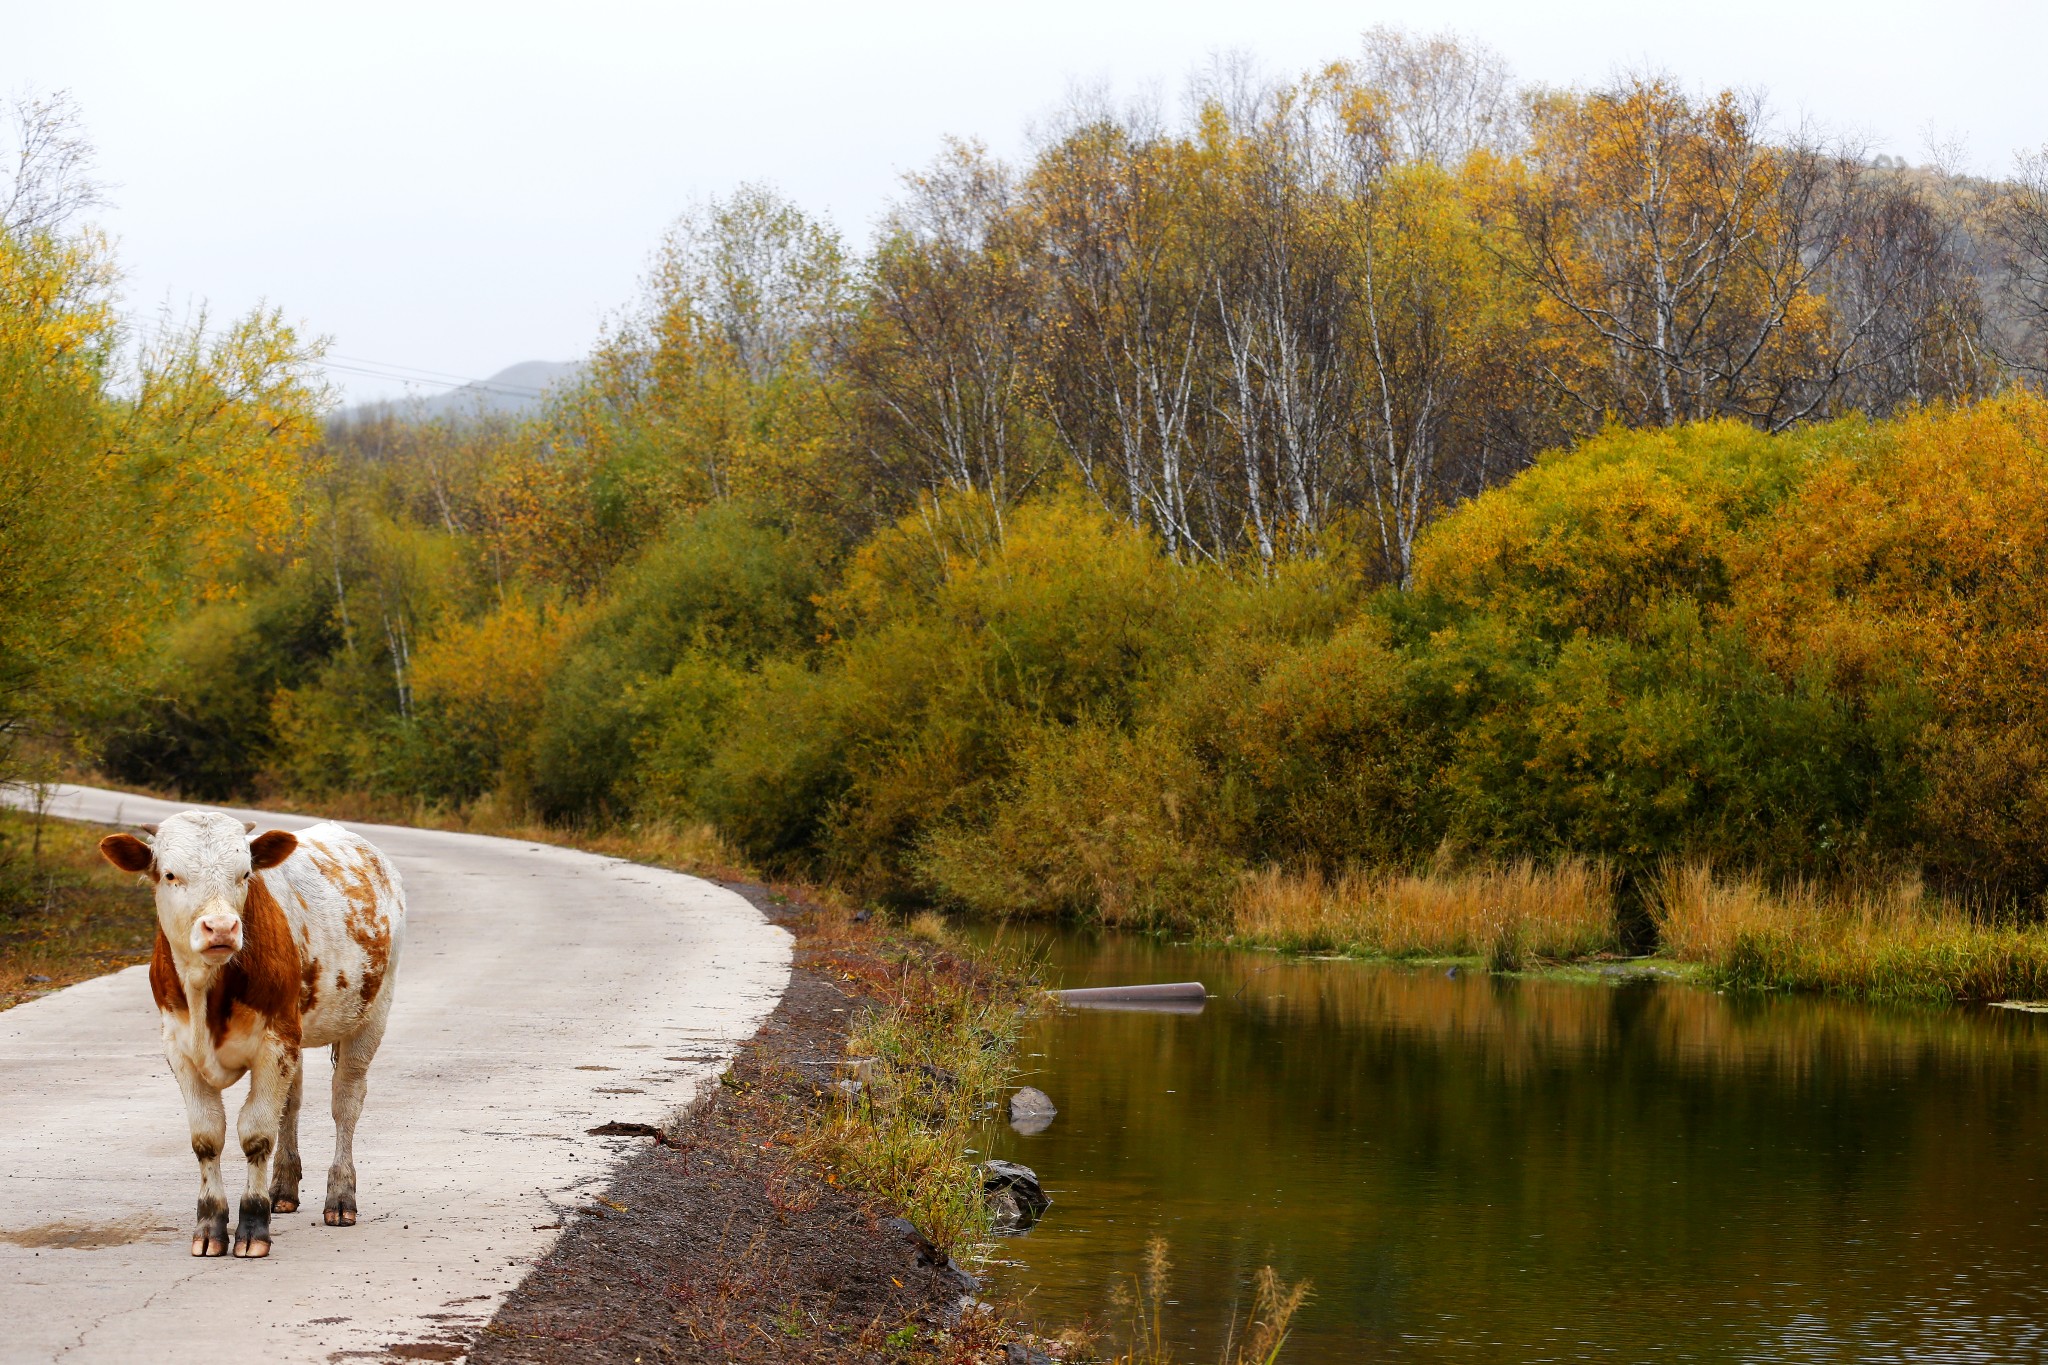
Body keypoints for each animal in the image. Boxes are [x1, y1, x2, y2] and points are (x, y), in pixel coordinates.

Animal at [100, 810, 407, 1260]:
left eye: (244, 873)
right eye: (170, 874)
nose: (221, 927)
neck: (207, 991)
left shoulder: (274, 1042)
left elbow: (257, 1133)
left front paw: (252, 1226)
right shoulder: (179, 1048)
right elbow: (207, 1136)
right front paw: (210, 1226)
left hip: (370, 1018)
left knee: (346, 1104)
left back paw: (340, 1198)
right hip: (298, 1033)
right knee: (292, 1104)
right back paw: (283, 1189)